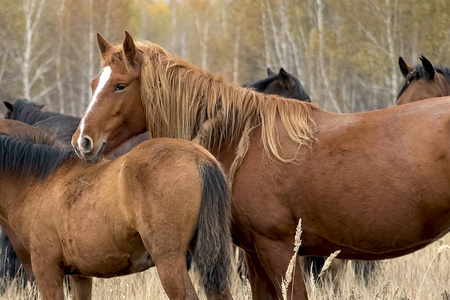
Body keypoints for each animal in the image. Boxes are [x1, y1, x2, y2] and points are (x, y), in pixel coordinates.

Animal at [71, 31, 450, 298]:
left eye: (120, 85)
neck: (244, 140)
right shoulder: (255, 255)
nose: (82, 141)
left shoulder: (280, 251)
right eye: (93, 83)